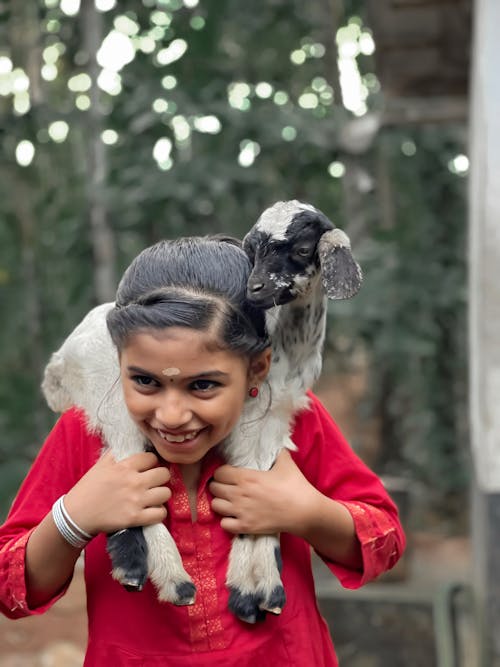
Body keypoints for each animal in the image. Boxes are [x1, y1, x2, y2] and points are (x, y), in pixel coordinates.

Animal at [221, 197, 362, 620]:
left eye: (301, 249)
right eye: (252, 250)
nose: (255, 288)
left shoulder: (281, 413)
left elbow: (265, 483)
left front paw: (262, 587)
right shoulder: (244, 418)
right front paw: (247, 590)